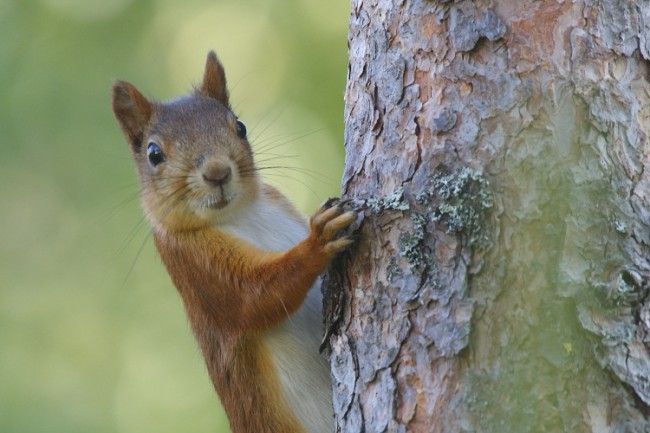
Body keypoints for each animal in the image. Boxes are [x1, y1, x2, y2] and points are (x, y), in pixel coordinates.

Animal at [111, 51, 354, 432]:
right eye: (153, 154)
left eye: (240, 127)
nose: (217, 172)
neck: (241, 214)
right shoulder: (194, 265)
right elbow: (253, 297)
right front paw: (318, 240)